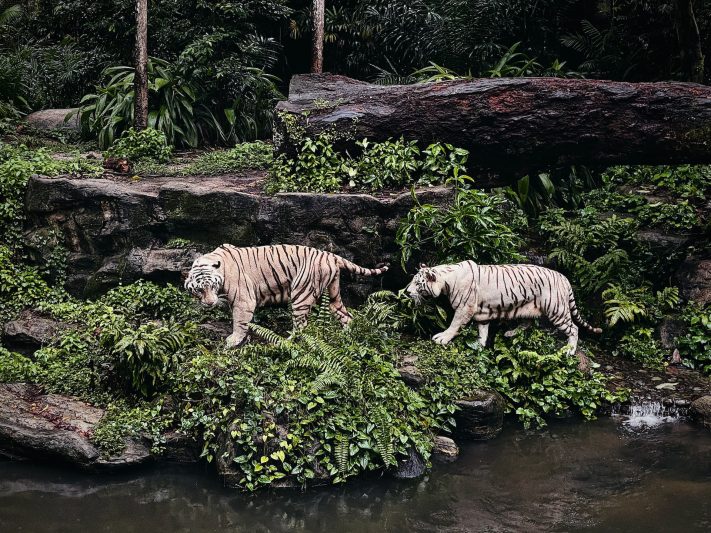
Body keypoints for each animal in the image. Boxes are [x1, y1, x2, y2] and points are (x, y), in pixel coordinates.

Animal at [184, 244, 389, 347]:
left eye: (212, 286)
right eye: (199, 289)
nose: (210, 304)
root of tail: (330, 255)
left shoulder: (244, 300)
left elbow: (240, 321)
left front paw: (234, 340)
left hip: (301, 294)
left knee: (301, 326)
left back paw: (285, 342)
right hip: (333, 294)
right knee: (346, 315)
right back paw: (348, 336)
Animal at [404, 261, 601, 354]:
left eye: (417, 283)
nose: (406, 291)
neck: (447, 280)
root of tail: (564, 278)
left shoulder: (464, 308)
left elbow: (454, 324)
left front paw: (442, 338)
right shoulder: (481, 314)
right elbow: (482, 330)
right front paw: (480, 345)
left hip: (557, 310)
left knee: (574, 328)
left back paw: (569, 350)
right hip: (528, 307)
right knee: (528, 323)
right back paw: (510, 333)